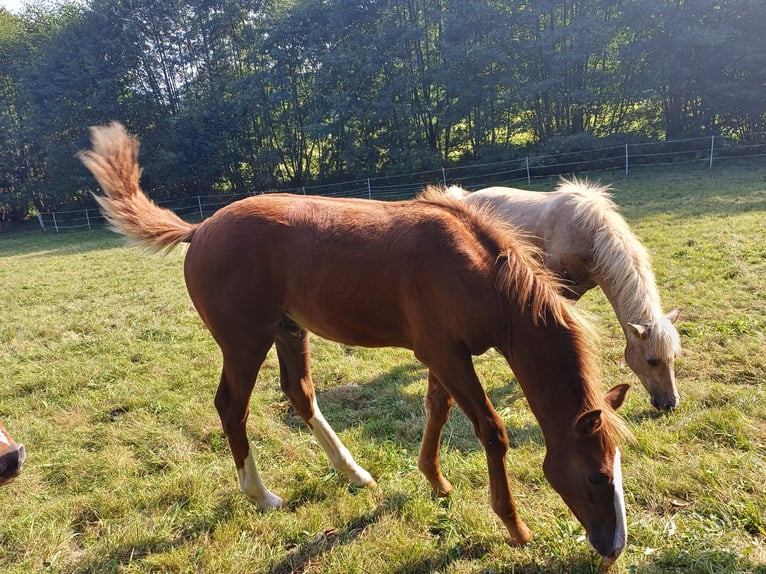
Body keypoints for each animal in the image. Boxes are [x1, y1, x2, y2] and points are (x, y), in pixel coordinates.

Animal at [82, 124, 636, 564]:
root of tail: (198, 229)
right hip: (244, 341)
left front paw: (435, 480)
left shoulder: (442, 355)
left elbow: (437, 409)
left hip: (288, 330)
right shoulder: (447, 355)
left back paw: (354, 474)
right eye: (595, 477)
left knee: (300, 394)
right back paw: (263, 496)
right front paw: (515, 526)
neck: (477, 272)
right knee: (231, 407)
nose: (612, 548)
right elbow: (490, 429)